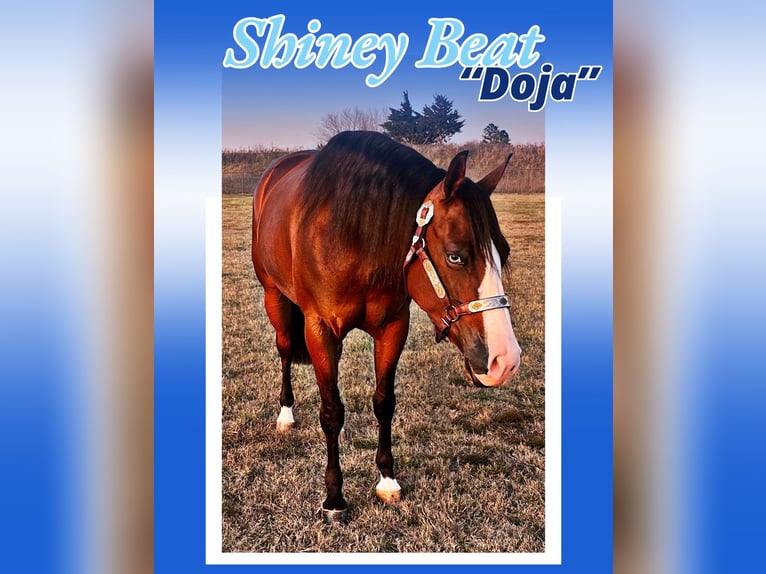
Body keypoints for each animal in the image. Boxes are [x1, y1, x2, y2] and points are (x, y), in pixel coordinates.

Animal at [251, 131, 521, 523]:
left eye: (505, 251)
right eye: (455, 255)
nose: (506, 361)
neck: (354, 237)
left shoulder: (393, 328)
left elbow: (383, 402)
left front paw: (387, 480)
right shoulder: (319, 329)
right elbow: (331, 411)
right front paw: (334, 499)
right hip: (275, 297)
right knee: (286, 348)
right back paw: (286, 414)